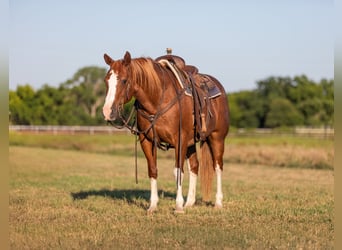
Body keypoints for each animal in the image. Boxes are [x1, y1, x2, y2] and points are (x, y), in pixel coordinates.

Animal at [102, 50, 230, 213]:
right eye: (106, 80)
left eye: (124, 80)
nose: (108, 111)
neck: (158, 99)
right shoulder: (147, 140)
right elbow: (152, 170)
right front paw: (153, 205)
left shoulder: (179, 140)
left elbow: (178, 171)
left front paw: (178, 206)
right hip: (191, 143)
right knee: (194, 167)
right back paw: (190, 202)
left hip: (217, 138)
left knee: (218, 166)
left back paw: (218, 203)